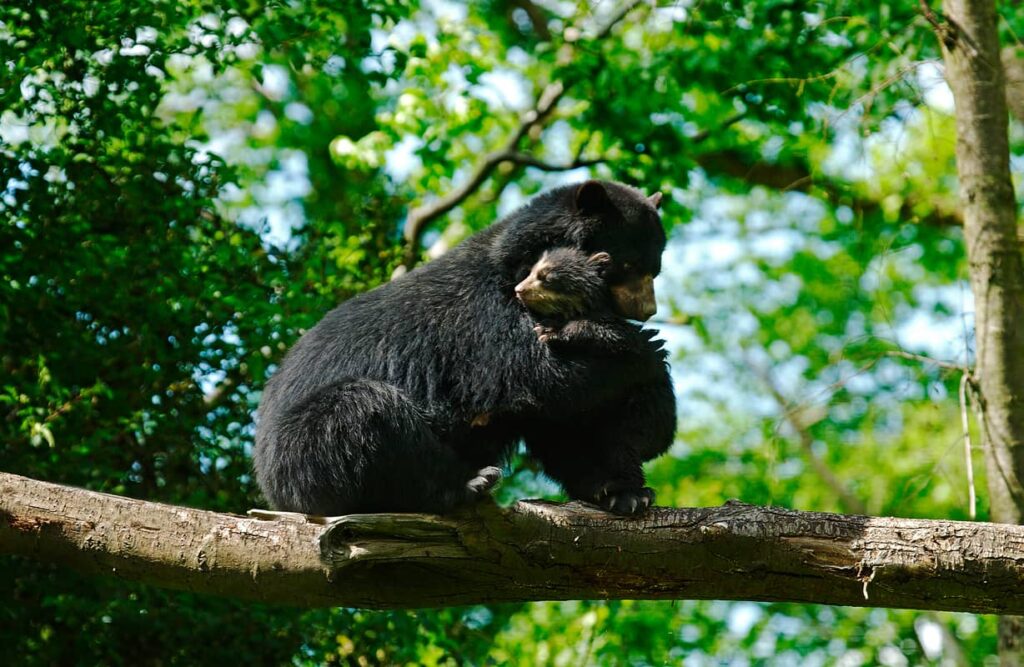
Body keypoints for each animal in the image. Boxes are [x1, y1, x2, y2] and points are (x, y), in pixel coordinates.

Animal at [253, 180, 676, 517]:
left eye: (655, 269)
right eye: (630, 264)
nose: (647, 310)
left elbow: (574, 424)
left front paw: (624, 491)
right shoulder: (484, 315)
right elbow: (536, 374)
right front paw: (645, 351)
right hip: (303, 454)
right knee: (363, 412)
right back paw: (467, 484)